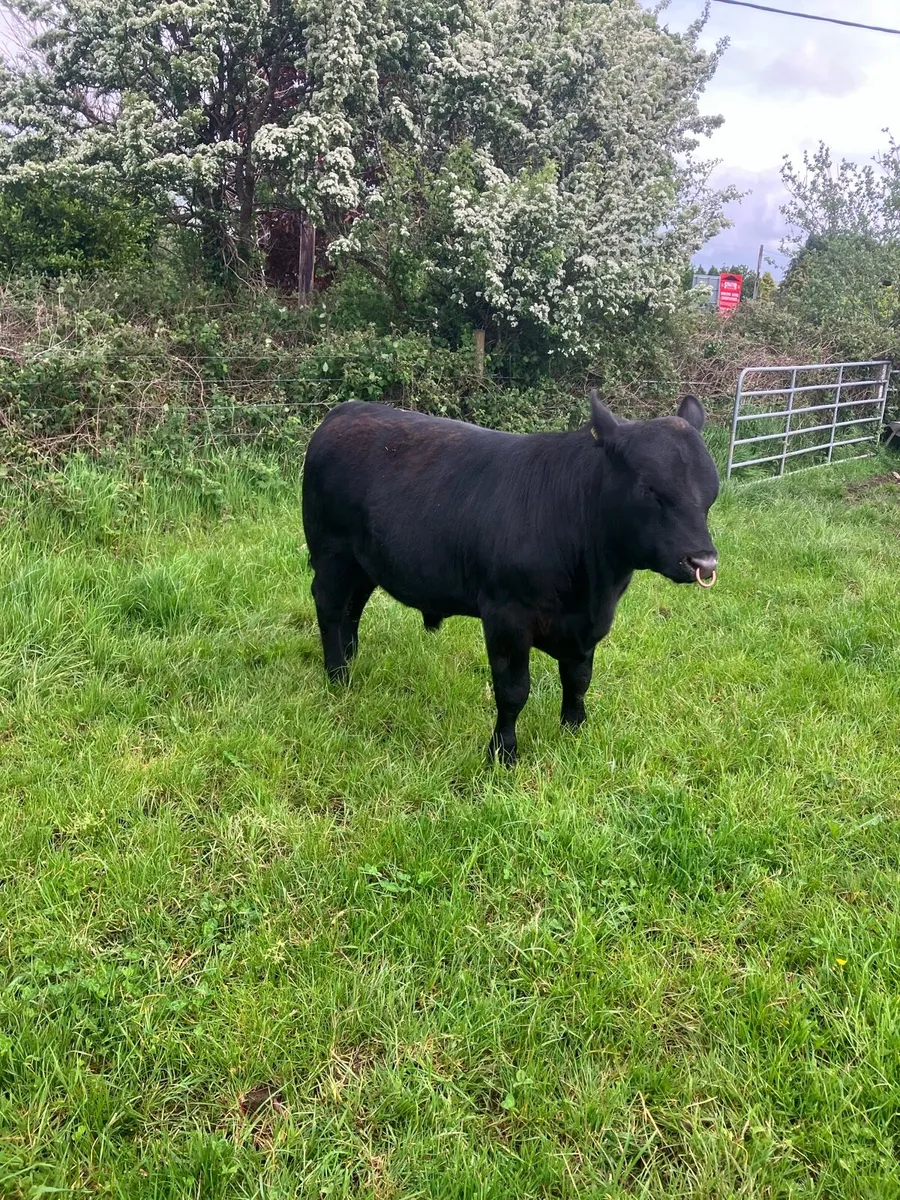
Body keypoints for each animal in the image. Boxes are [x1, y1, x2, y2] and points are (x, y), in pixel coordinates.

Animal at [301, 390, 719, 764]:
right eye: (649, 488)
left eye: (711, 490)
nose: (704, 562)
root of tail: (345, 410)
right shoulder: (506, 615)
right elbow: (514, 690)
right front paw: (503, 753)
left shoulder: (588, 625)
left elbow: (578, 679)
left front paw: (574, 729)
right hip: (332, 552)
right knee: (330, 608)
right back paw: (338, 675)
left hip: (363, 561)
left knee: (353, 606)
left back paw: (351, 657)